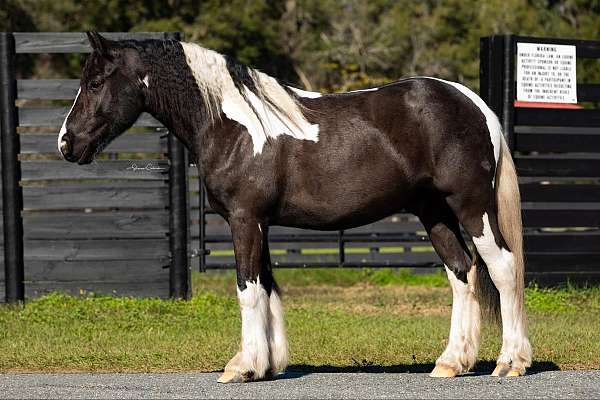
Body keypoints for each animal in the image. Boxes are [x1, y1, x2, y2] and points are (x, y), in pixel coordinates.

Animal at [58, 31, 532, 382]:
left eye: (95, 83)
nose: (67, 143)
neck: (233, 124)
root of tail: (474, 103)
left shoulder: (245, 220)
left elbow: (247, 289)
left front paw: (243, 367)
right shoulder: (259, 223)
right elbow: (267, 286)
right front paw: (267, 364)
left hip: (472, 207)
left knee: (502, 269)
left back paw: (511, 362)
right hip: (433, 212)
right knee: (462, 272)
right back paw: (452, 362)